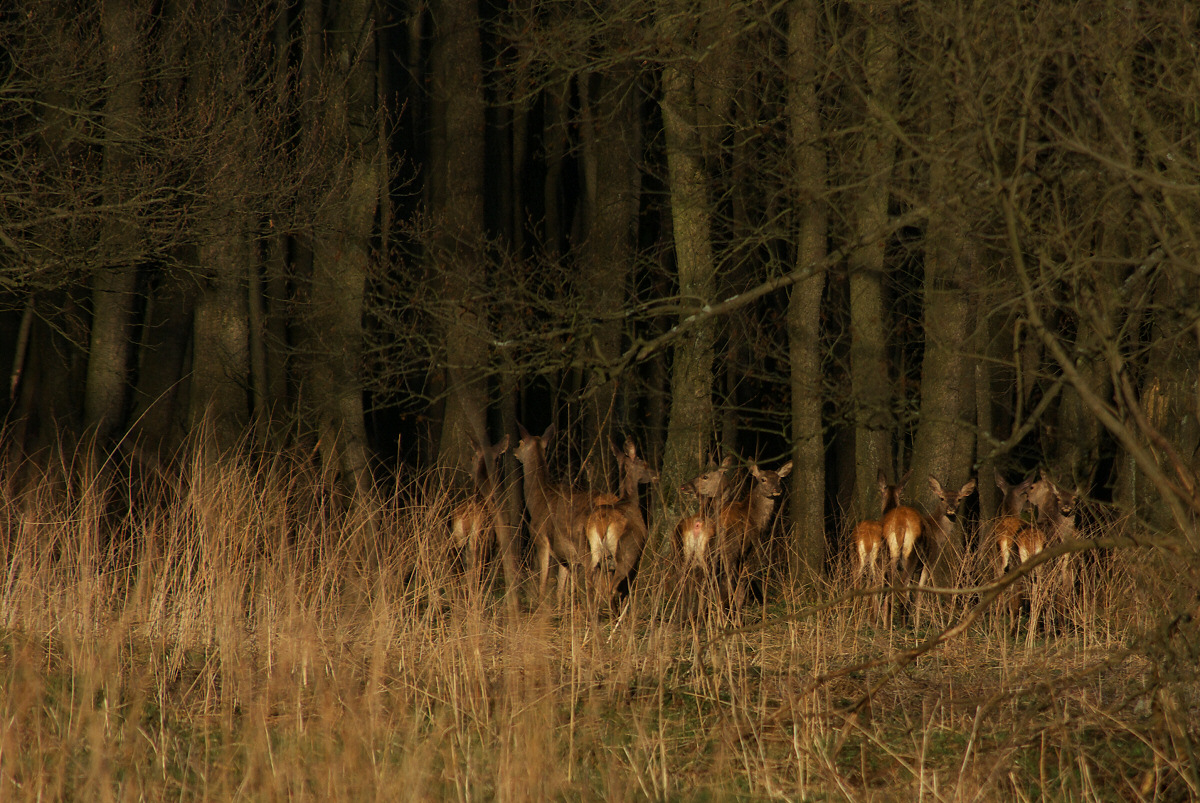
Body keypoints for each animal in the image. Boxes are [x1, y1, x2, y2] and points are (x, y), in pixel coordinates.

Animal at [585, 439, 662, 607]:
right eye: (644, 463)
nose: (656, 475)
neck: (629, 500)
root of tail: (602, 524)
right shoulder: (638, 552)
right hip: (626, 553)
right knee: (612, 589)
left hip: (595, 551)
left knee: (590, 583)